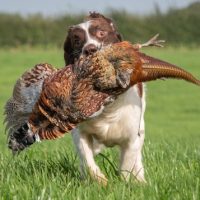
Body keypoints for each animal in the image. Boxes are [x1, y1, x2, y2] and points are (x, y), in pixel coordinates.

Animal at [63, 12, 160, 184]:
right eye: (77, 40)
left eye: (102, 33)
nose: (90, 49)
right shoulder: (80, 132)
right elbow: (87, 159)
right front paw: (100, 180)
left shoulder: (131, 138)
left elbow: (126, 167)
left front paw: (126, 183)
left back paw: (141, 180)